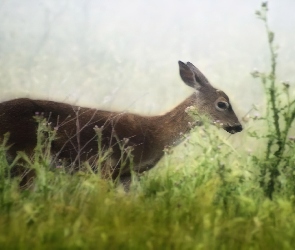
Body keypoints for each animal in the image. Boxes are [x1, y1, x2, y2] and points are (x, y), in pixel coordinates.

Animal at [0, 61, 243, 188]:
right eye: (222, 103)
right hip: (26, 156)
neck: (156, 134)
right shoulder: (108, 168)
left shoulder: (128, 176)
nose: (238, 127)